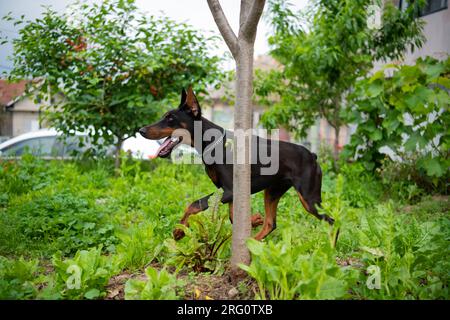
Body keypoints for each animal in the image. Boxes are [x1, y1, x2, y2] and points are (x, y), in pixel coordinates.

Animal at [140, 87, 334, 240]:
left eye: (170, 118)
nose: (141, 130)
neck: (212, 142)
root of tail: (312, 155)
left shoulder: (229, 190)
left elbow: (195, 204)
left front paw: (179, 231)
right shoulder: (230, 192)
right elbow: (233, 217)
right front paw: (254, 220)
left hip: (309, 199)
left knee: (332, 220)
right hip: (273, 190)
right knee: (271, 223)